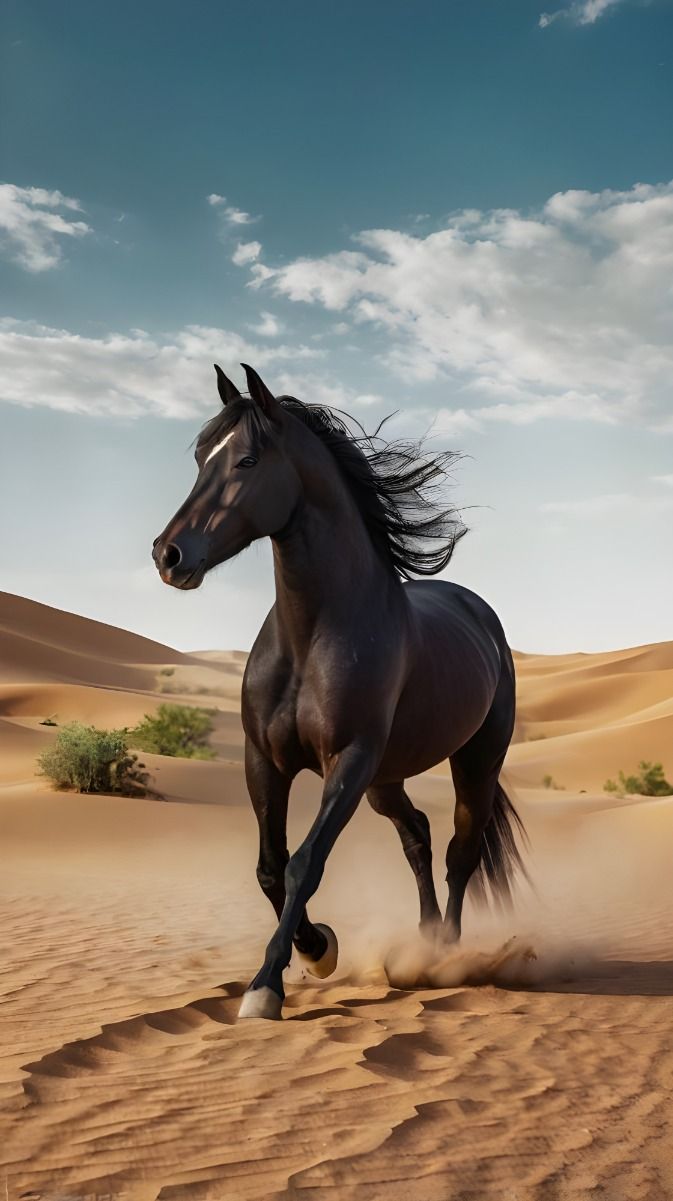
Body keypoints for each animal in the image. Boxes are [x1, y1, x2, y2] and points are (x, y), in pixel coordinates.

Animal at [153, 363, 527, 1020]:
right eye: (200, 457)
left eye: (247, 460)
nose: (168, 555)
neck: (313, 635)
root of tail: (479, 613)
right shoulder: (264, 762)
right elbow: (270, 869)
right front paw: (317, 948)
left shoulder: (347, 762)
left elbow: (305, 864)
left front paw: (267, 985)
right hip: (386, 779)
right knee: (417, 836)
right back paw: (425, 940)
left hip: (472, 764)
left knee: (460, 852)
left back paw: (446, 955)